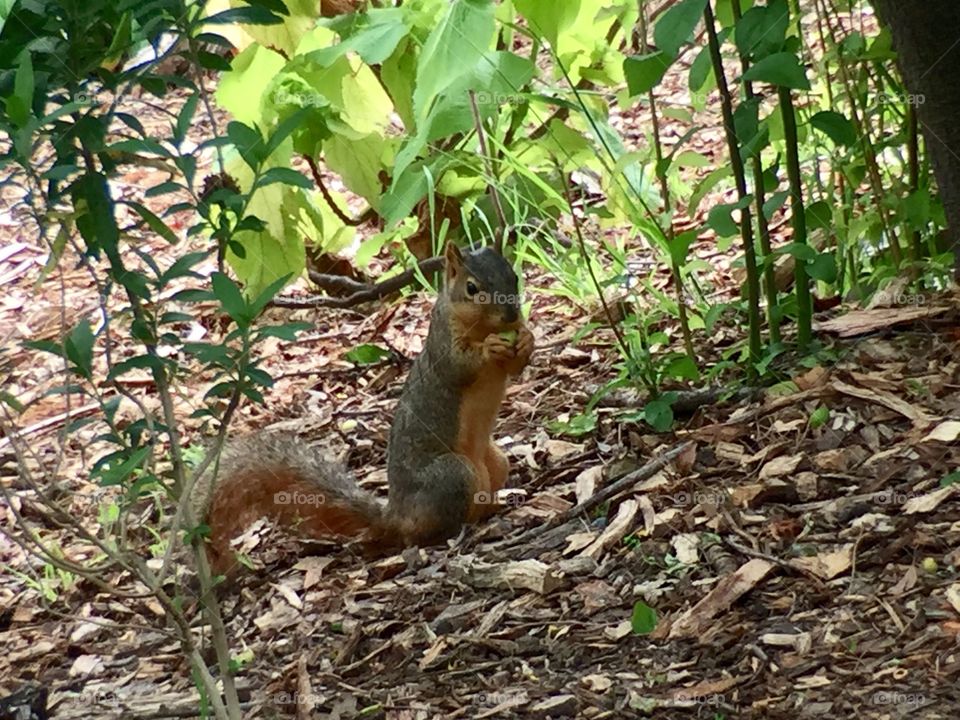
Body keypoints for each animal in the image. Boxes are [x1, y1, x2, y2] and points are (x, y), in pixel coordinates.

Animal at [191, 242, 534, 574]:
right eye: (472, 288)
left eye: (513, 276)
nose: (511, 315)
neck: (479, 326)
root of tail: (395, 515)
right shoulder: (443, 342)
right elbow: (459, 366)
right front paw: (490, 347)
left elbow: (516, 366)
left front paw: (526, 339)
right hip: (453, 475)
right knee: (423, 532)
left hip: (497, 462)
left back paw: (496, 506)